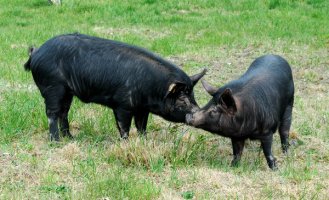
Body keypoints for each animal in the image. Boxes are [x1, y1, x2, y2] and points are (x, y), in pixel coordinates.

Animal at [24, 32, 205, 141]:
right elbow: (124, 127)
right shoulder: (122, 105)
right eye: (182, 99)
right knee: (52, 113)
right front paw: (126, 143)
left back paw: (71, 138)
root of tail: (36, 52)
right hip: (53, 87)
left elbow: (142, 126)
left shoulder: (142, 108)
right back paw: (56, 141)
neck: (152, 88)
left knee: (64, 112)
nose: (198, 111)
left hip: (67, 92)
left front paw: (144, 141)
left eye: (193, 95)